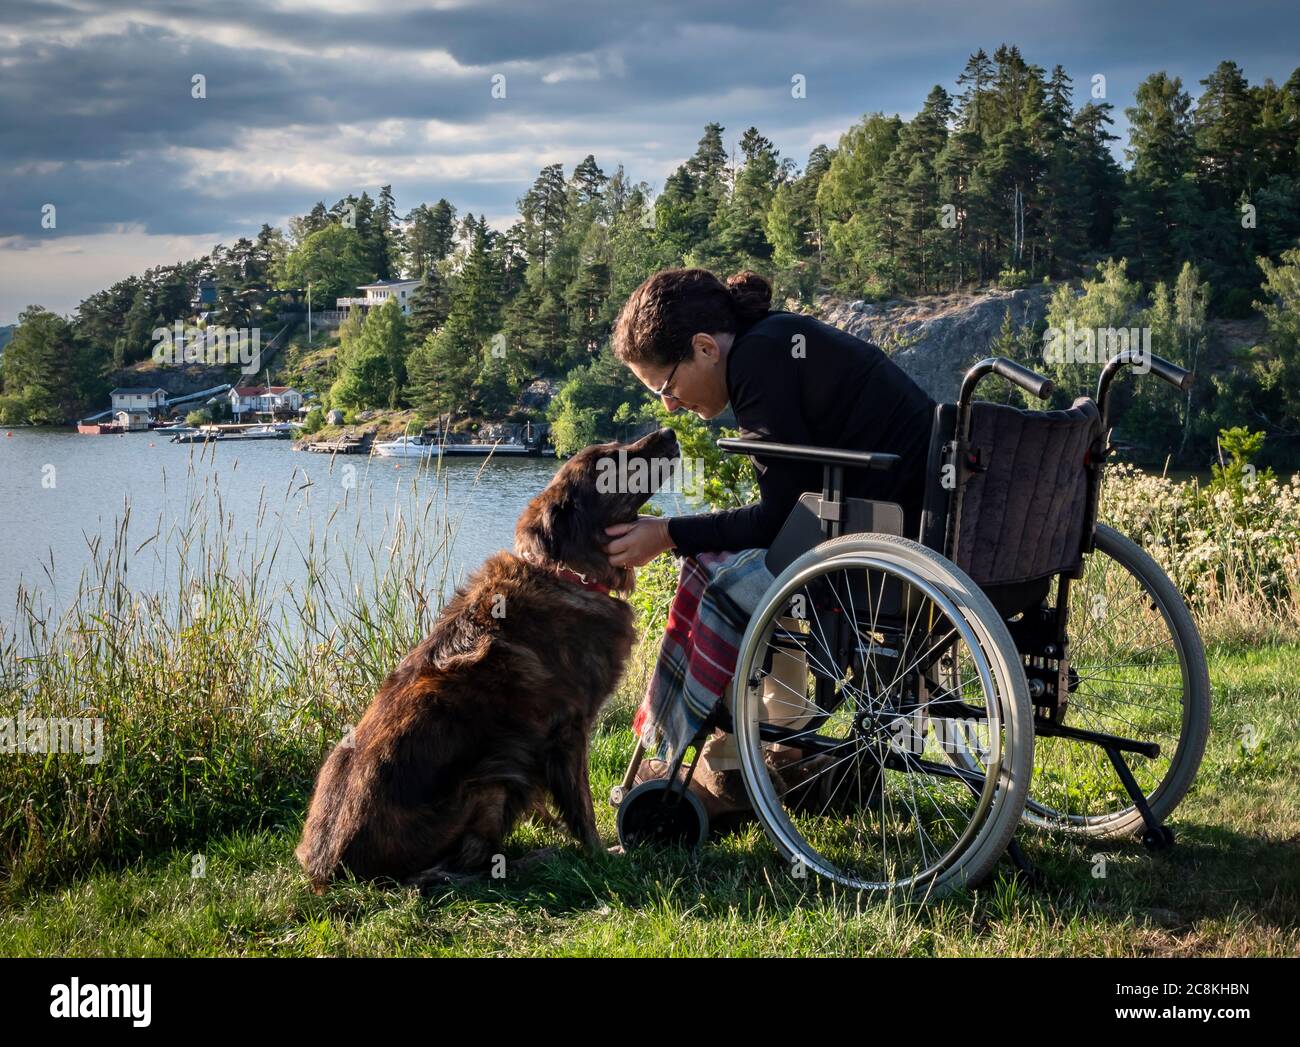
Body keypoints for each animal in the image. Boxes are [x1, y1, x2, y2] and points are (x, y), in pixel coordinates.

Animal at [296, 424, 681, 889]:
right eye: (608, 460)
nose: (669, 430)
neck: (566, 573)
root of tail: (331, 868)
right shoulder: (569, 730)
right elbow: (582, 807)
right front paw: (600, 855)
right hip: (493, 778)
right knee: (462, 870)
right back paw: (535, 859)